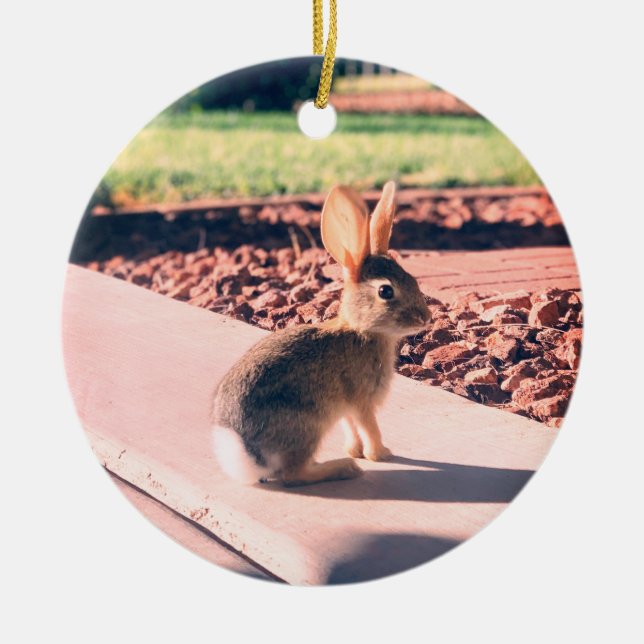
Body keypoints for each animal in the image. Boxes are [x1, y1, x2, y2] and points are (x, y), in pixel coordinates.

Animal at [211, 181, 430, 486]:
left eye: (413, 279)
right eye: (386, 291)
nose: (425, 318)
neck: (362, 330)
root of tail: (247, 456)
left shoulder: (346, 407)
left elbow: (352, 427)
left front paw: (356, 451)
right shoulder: (362, 400)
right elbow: (370, 427)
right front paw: (380, 455)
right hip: (307, 426)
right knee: (293, 474)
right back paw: (342, 468)